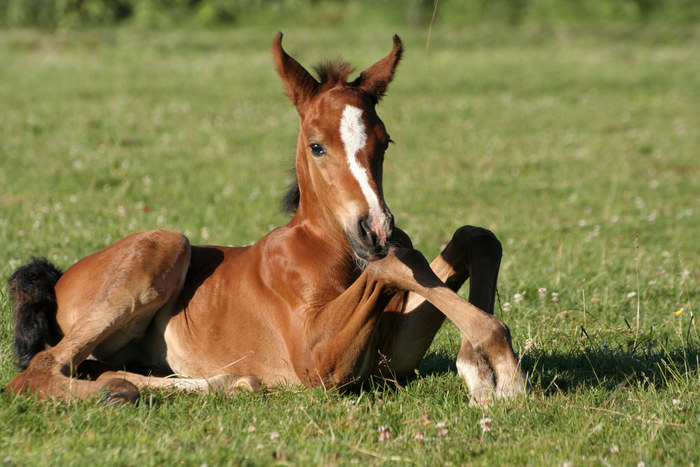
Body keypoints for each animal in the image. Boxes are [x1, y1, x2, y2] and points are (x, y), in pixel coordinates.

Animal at [5, 33, 524, 406]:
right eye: (317, 145)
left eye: (385, 141)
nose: (375, 228)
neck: (328, 248)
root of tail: (57, 278)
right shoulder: (318, 365)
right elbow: (395, 262)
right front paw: (503, 371)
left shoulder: (392, 359)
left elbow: (474, 238)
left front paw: (481, 374)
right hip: (165, 244)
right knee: (39, 370)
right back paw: (117, 394)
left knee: (100, 367)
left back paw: (227, 383)